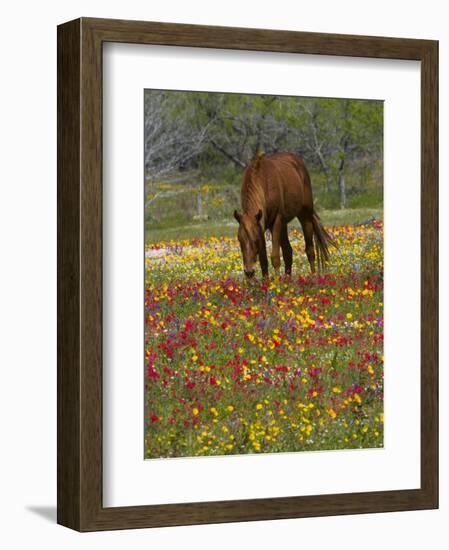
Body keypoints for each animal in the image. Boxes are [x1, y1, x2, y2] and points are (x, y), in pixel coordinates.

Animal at [234, 151, 332, 280]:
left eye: (255, 241)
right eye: (240, 240)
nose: (249, 272)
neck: (263, 181)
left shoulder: (276, 221)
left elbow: (275, 257)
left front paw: (276, 281)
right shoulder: (261, 225)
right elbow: (263, 260)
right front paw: (267, 282)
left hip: (305, 215)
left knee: (310, 250)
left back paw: (313, 277)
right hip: (284, 224)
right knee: (288, 252)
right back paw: (288, 279)